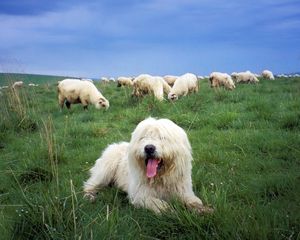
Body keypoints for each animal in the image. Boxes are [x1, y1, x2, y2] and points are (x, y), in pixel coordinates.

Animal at [83, 118, 212, 214]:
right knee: (90, 184)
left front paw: (203, 209)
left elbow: (193, 201)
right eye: (143, 138)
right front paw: (171, 211)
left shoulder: (184, 191)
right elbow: (158, 204)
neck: (160, 178)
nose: (149, 148)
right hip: (105, 170)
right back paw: (89, 196)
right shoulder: (140, 195)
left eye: (162, 137)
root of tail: (114, 145)